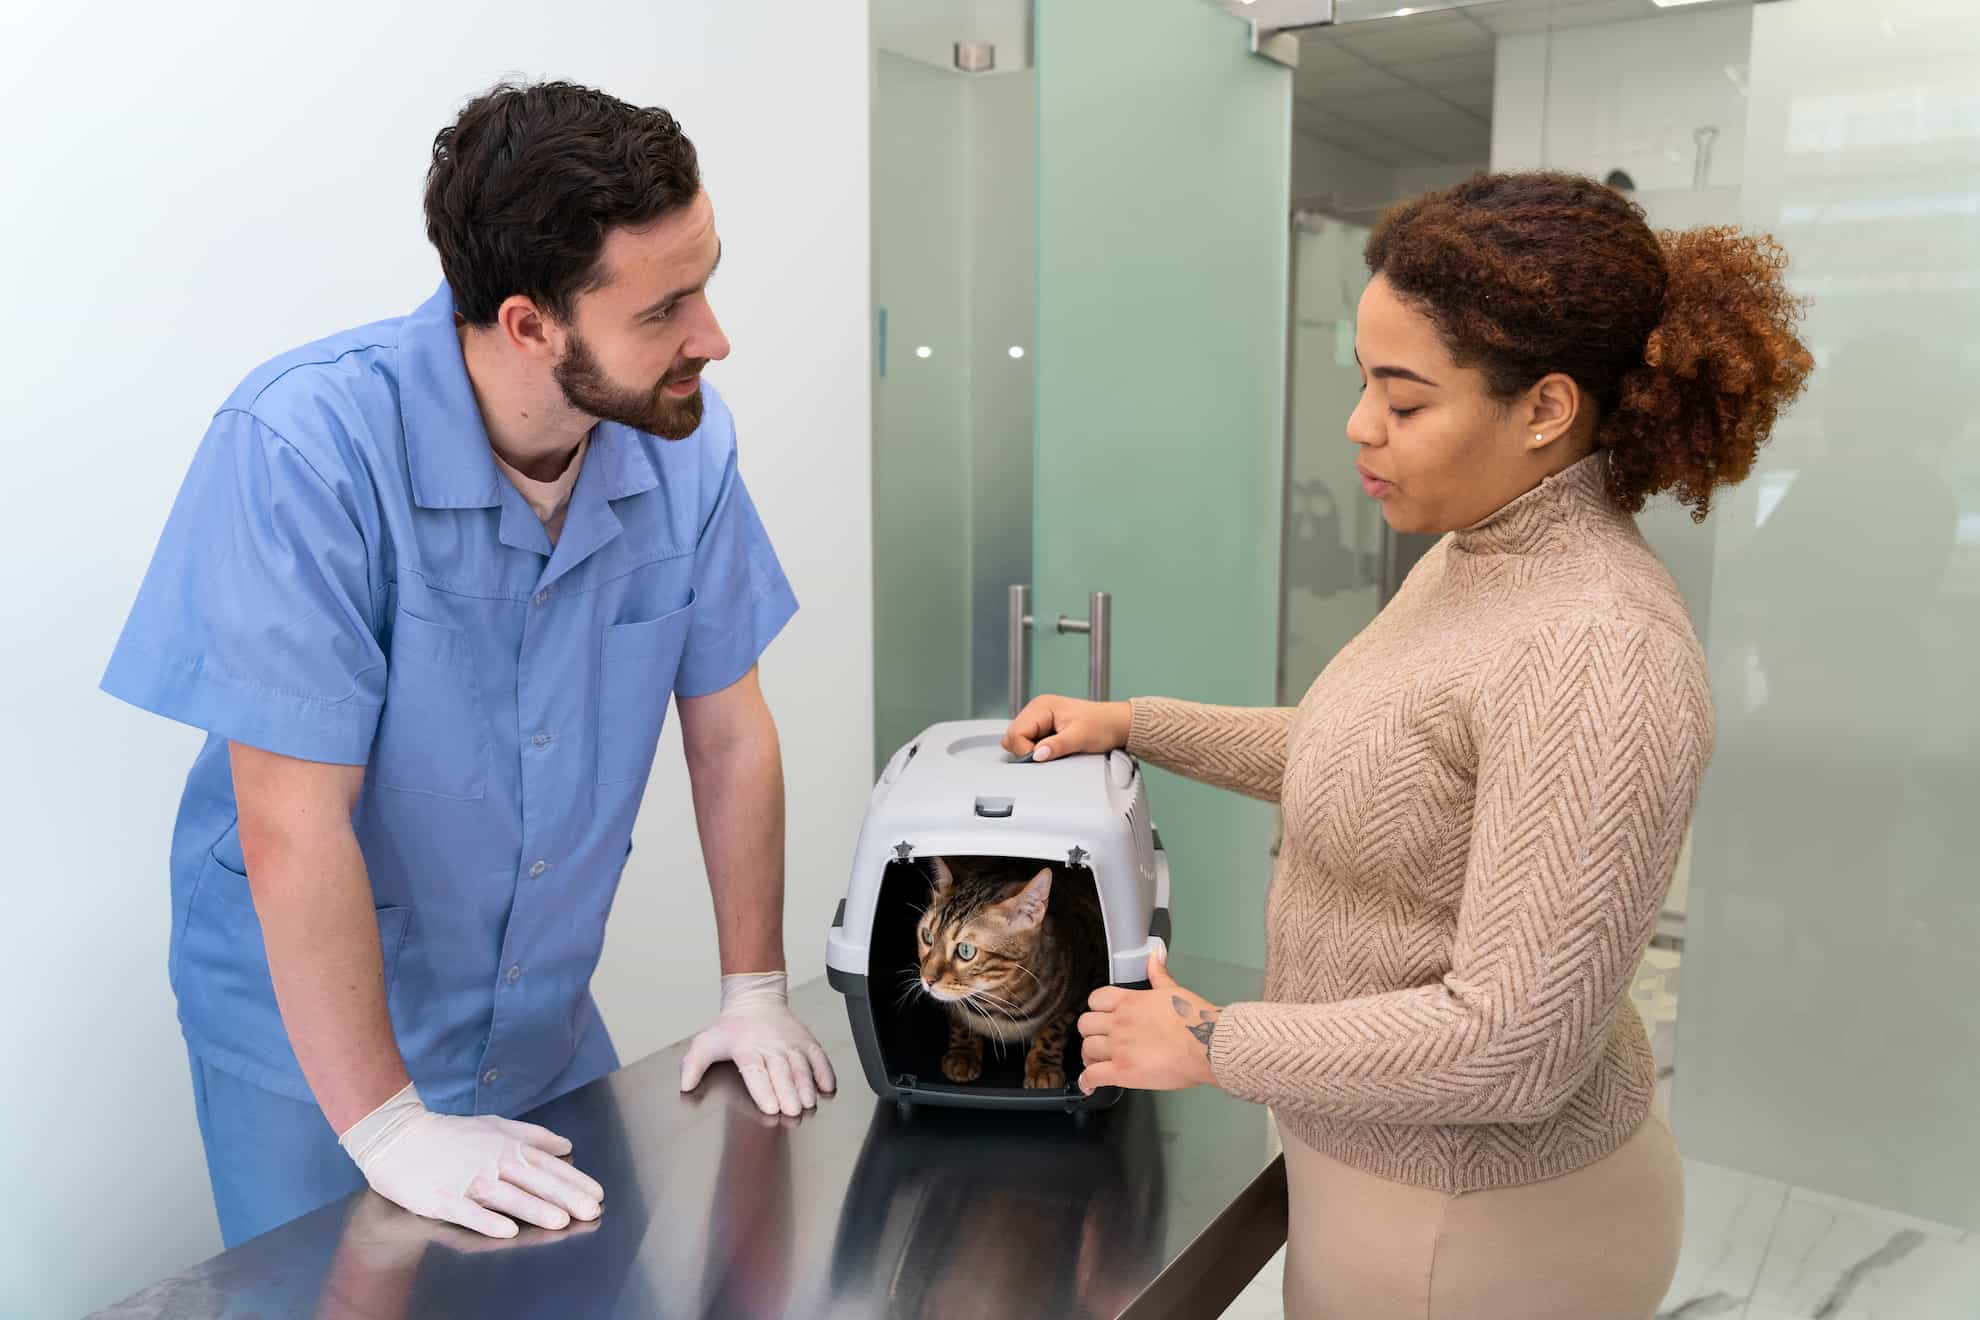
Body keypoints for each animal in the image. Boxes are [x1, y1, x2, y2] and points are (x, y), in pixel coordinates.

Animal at [914, 862, 1116, 1092]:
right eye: (927, 937)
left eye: (966, 950)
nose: (927, 980)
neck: (995, 1002)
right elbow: (959, 1020)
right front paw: (962, 1053)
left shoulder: (1085, 987)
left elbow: (1053, 1028)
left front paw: (1042, 1067)